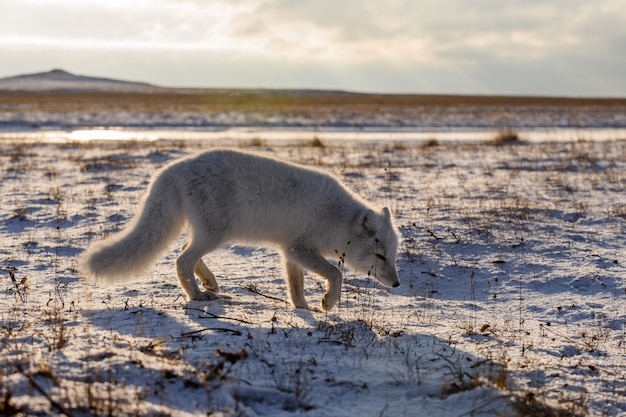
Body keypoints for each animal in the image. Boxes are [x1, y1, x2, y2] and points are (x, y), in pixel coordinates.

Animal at [79, 149, 400, 308]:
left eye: (394, 256)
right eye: (380, 256)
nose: (397, 284)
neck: (336, 218)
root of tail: (172, 168)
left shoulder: (290, 251)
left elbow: (295, 286)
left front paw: (302, 309)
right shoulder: (300, 247)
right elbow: (336, 273)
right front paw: (328, 303)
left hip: (208, 234)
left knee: (185, 251)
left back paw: (209, 283)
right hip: (215, 234)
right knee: (181, 259)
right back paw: (198, 296)